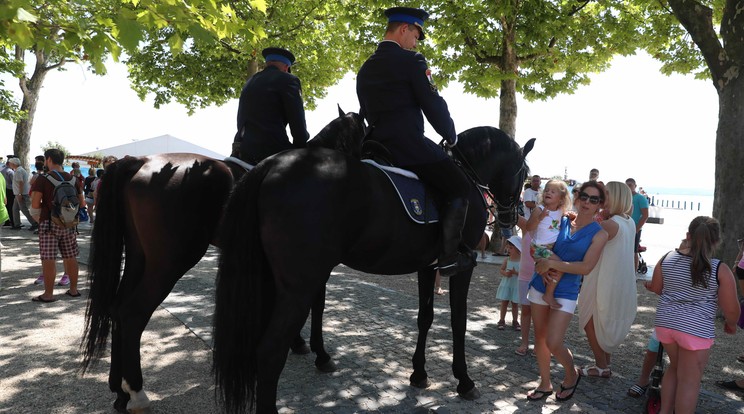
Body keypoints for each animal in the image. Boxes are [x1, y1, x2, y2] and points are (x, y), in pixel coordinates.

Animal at [80, 109, 366, 414]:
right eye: (362, 134)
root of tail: (139, 160)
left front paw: (297, 342)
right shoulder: (313, 265)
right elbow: (317, 305)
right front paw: (319, 353)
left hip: (138, 257)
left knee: (116, 309)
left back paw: (119, 391)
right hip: (168, 263)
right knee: (132, 313)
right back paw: (137, 393)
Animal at [212, 128, 532, 412]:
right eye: (525, 173)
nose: (511, 217)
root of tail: (270, 165)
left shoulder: (428, 268)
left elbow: (425, 318)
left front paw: (419, 374)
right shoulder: (460, 269)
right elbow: (458, 321)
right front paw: (464, 381)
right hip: (299, 285)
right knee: (269, 352)